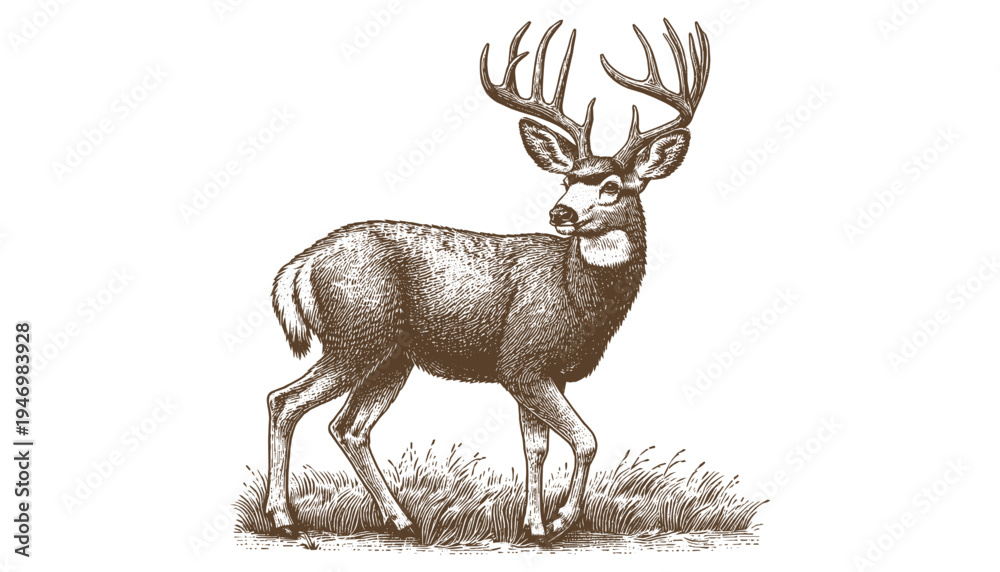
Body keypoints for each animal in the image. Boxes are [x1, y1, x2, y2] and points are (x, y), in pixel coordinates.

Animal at [264, 18, 710, 544]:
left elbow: (536, 447)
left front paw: (534, 525)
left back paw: (402, 520)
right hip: (356, 336)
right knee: (285, 401)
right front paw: (560, 521)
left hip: (390, 356)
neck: (575, 298)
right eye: (566, 181)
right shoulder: (522, 362)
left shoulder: (546, 372)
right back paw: (284, 519)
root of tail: (300, 265)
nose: (561, 213)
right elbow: (585, 440)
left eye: (611, 186)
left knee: (348, 427)